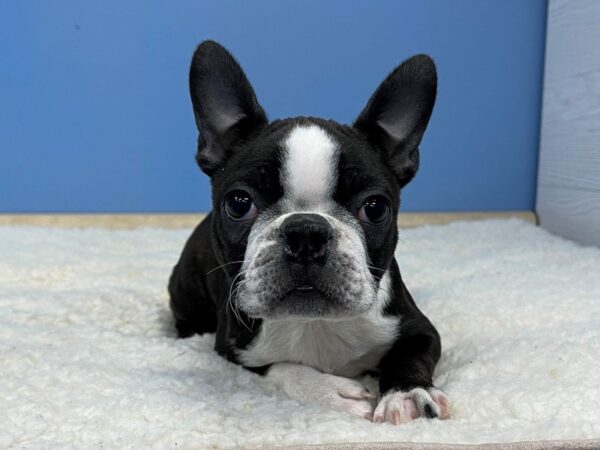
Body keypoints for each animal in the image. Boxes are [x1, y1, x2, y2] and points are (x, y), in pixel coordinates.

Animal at [166, 40, 448, 424]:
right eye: (239, 203)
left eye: (375, 207)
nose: (306, 232)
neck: (315, 322)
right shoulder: (235, 348)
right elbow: (283, 367)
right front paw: (330, 391)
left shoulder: (419, 329)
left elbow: (409, 356)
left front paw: (407, 393)